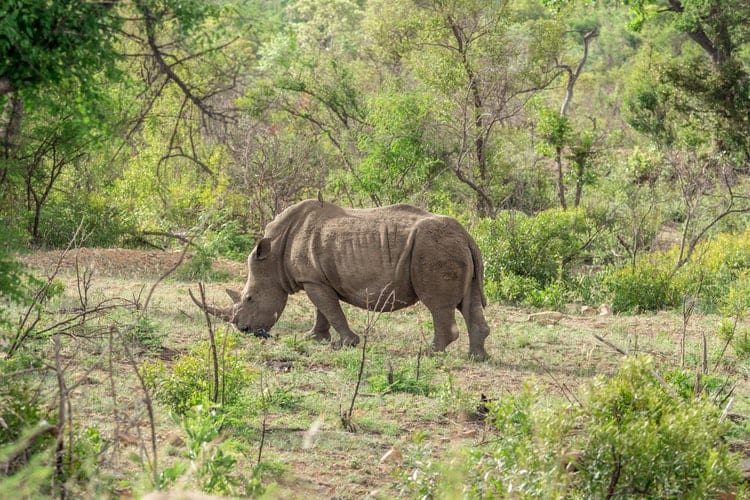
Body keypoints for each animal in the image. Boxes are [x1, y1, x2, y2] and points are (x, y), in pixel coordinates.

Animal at [192, 199, 490, 359]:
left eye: (250, 298)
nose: (244, 331)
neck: (274, 256)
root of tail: (467, 235)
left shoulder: (312, 280)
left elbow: (330, 310)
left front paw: (347, 343)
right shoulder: (315, 278)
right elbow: (322, 310)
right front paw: (314, 338)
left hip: (433, 248)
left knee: (437, 305)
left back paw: (429, 353)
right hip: (452, 247)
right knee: (470, 302)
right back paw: (476, 357)